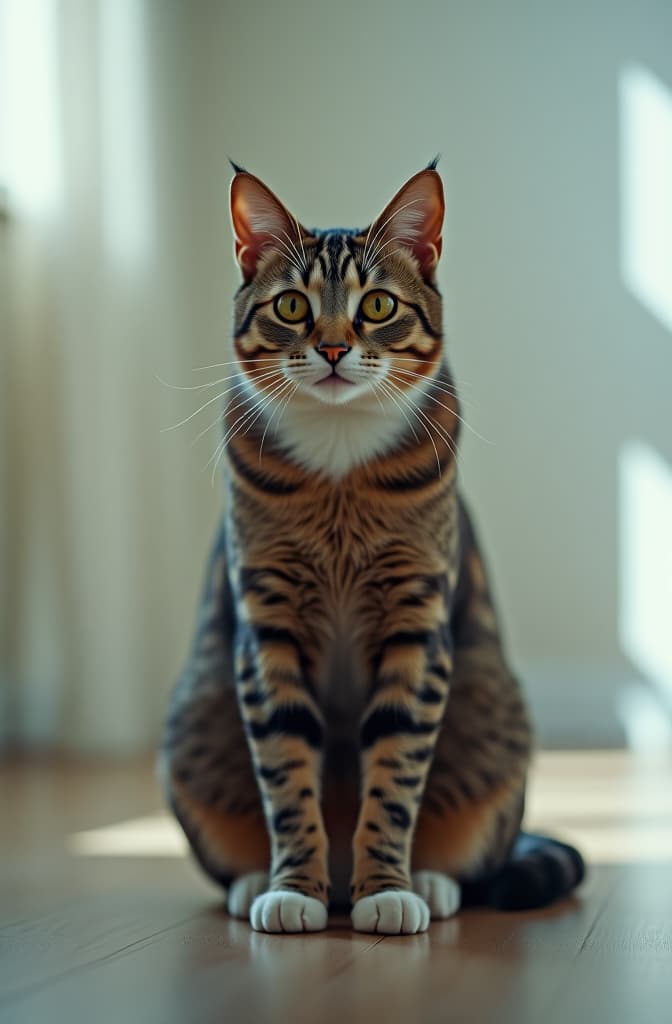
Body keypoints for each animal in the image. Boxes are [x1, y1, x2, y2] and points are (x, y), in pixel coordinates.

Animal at [159, 159, 585, 937]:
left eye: (379, 305)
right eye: (292, 306)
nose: (332, 347)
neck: (338, 460)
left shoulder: (416, 621)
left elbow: (396, 770)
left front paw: (387, 888)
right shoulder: (266, 625)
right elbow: (286, 772)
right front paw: (292, 889)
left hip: (493, 713)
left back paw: (427, 880)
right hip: (195, 718)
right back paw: (260, 882)